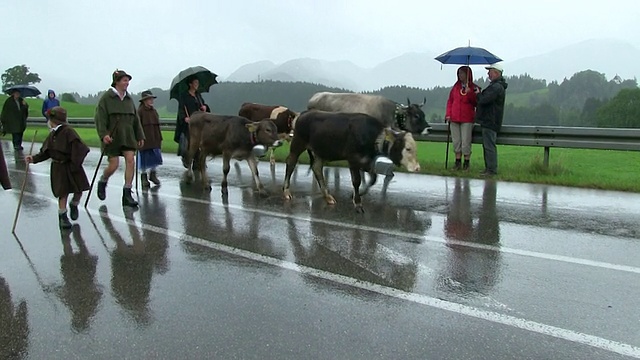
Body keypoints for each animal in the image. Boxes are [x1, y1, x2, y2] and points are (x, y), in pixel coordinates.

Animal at [282, 109, 422, 211]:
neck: (372, 137)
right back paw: (286, 192)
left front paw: (358, 194)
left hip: (320, 151)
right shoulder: (353, 159)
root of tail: (304, 113)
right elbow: (357, 181)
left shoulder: (366, 161)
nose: (417, 168)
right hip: (298, 144)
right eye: (408, 148)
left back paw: (328, 197)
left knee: (317, 168)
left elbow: (373, 178)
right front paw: (358, 203)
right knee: (291, 163)